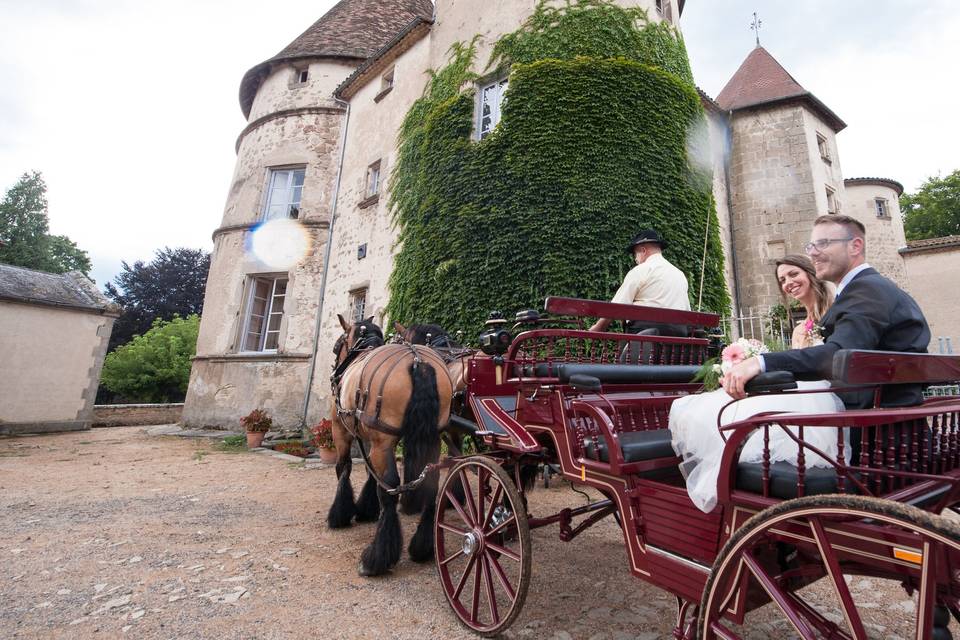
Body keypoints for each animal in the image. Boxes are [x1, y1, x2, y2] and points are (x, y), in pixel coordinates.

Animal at [328, 314, 452, 576]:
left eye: (336, 346)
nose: (334, 371)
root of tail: (418, 360)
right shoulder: (368, 436)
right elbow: (369, 472)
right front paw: (366, 508)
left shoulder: (340, 429)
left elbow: (344, 467)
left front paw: (341, 513)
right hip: (432, 438)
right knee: (431, 484)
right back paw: (422, 547)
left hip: (380, 441)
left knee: (390, 489)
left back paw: (376, 558)